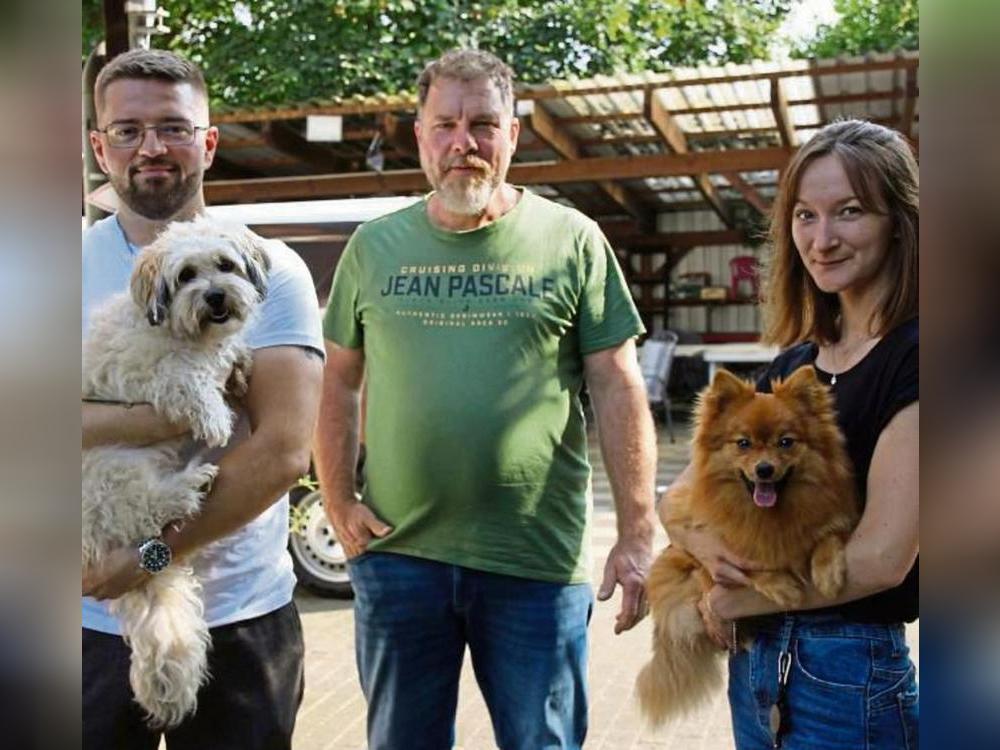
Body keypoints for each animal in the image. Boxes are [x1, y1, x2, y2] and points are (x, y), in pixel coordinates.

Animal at [82, 216, 270, 728]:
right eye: (186, 275)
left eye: (225, 266)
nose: (216, 297)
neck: (188, 335)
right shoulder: (146, 372)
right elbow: (184, 378)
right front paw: (214, 415)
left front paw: (239, 365)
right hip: (114, 471)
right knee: (146, 508)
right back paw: (190, 486)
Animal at [636, 368, 856, 724]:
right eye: (743, 443)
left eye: (785, 442)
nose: (764, 468)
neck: (768, 516)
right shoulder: (705, 544)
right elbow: (748, 561)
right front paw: (783, 586)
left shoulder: (838, 519)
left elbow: (827, 538)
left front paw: (828, 575)